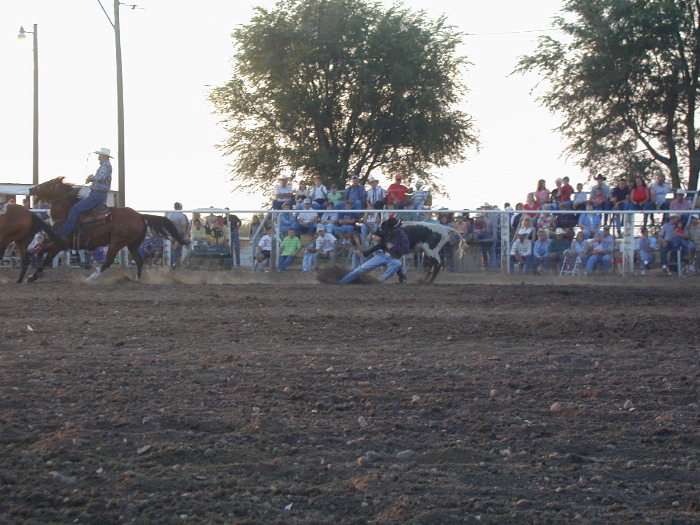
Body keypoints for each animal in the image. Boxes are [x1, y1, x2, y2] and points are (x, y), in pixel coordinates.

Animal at [28, 177, 187, 282]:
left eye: (47, 184)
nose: (31, 189)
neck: (66, 215)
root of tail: (140, 216)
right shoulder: (58, 245)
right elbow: (46, 258)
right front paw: (33, 276)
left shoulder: (59, 243)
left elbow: (41, 252)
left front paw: (33, 274)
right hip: (133, 244)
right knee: (139, 261)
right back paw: (136, 280)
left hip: (116, 243)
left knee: (109, 260)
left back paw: (90, 278)